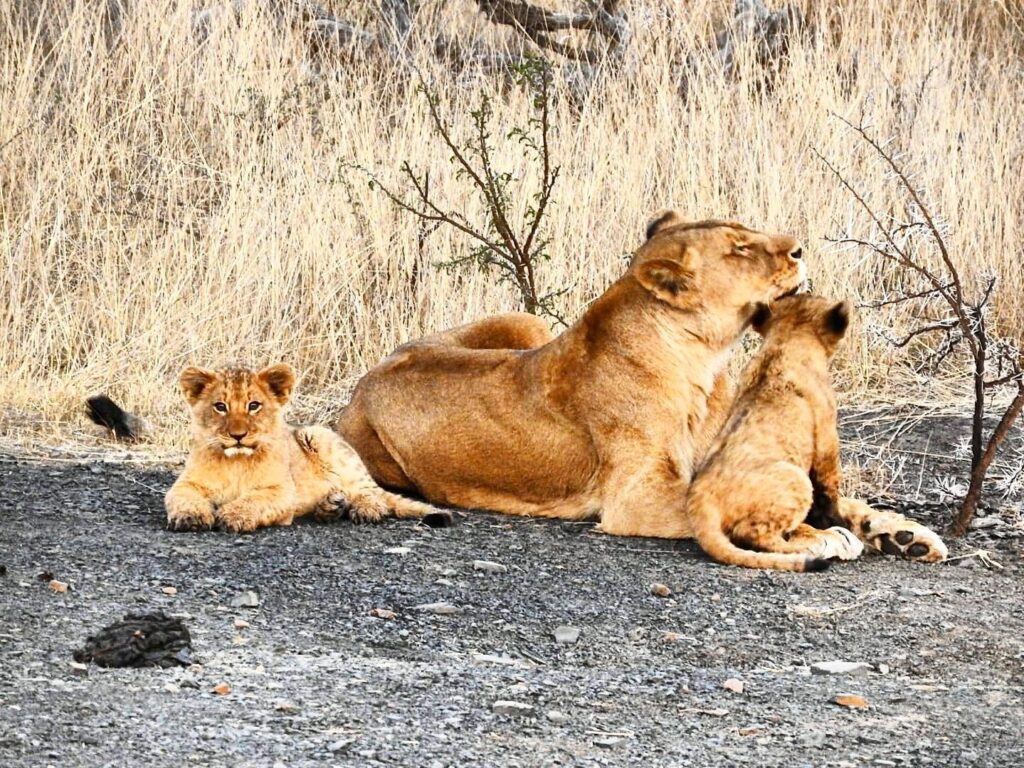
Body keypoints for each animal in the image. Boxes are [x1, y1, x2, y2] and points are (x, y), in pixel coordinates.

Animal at [165, 364, 450, 533]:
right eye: (220, 406)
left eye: (254, 406)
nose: (238, 436)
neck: (235, 461)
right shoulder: (186, 483)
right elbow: (181, 498)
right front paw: (190, 517)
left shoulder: (282, 491)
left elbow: (254, 499)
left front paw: (232, 516)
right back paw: (330, 507)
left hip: (318, 435)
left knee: (371, 492)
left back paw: (364, 510)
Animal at [336, 212, 806, 539]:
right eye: (739, 249)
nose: (799, 248)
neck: (702, 360)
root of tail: (366, 379)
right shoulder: (636, 496)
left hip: (525, 320)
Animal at [686, 295, 867, 571]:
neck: (786, 339)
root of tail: (699, 503)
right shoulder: (826, 436)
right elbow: (829, 487)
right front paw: (838, 523)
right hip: (796, 479)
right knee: (751, 534)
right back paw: (814, 550)